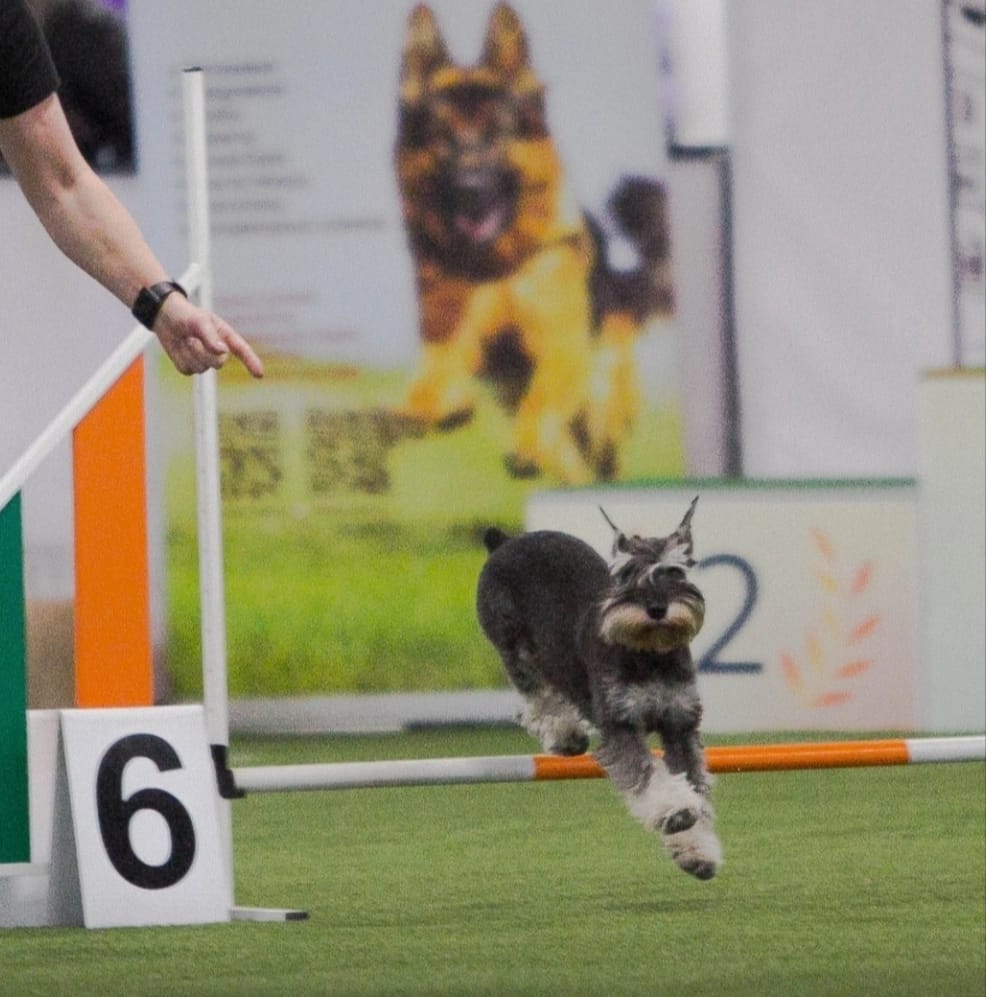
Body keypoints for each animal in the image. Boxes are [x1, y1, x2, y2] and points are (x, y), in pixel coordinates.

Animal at [395, 2, 674, 484]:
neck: (494, 265)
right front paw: (430, 408)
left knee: (597, 446)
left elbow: (543, 396)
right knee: (570, 462)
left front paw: (524, 443)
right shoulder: (450, 339)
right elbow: (433, 381)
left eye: (496, 135)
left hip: (600, 399)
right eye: (442, 138)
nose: (469, 190)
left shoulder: (562, 343)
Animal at [476, 499, 722, 880]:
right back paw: (566, 735)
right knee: (537, 697)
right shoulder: (620, 724)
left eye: (675, 571)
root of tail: (505, 540)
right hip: (514, 648)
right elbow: (647, 773)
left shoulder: (679, 724)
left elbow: (693, 782)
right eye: (625, 573)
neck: (649, 653)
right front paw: (674, 810)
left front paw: (697, 853)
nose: (656, 608)